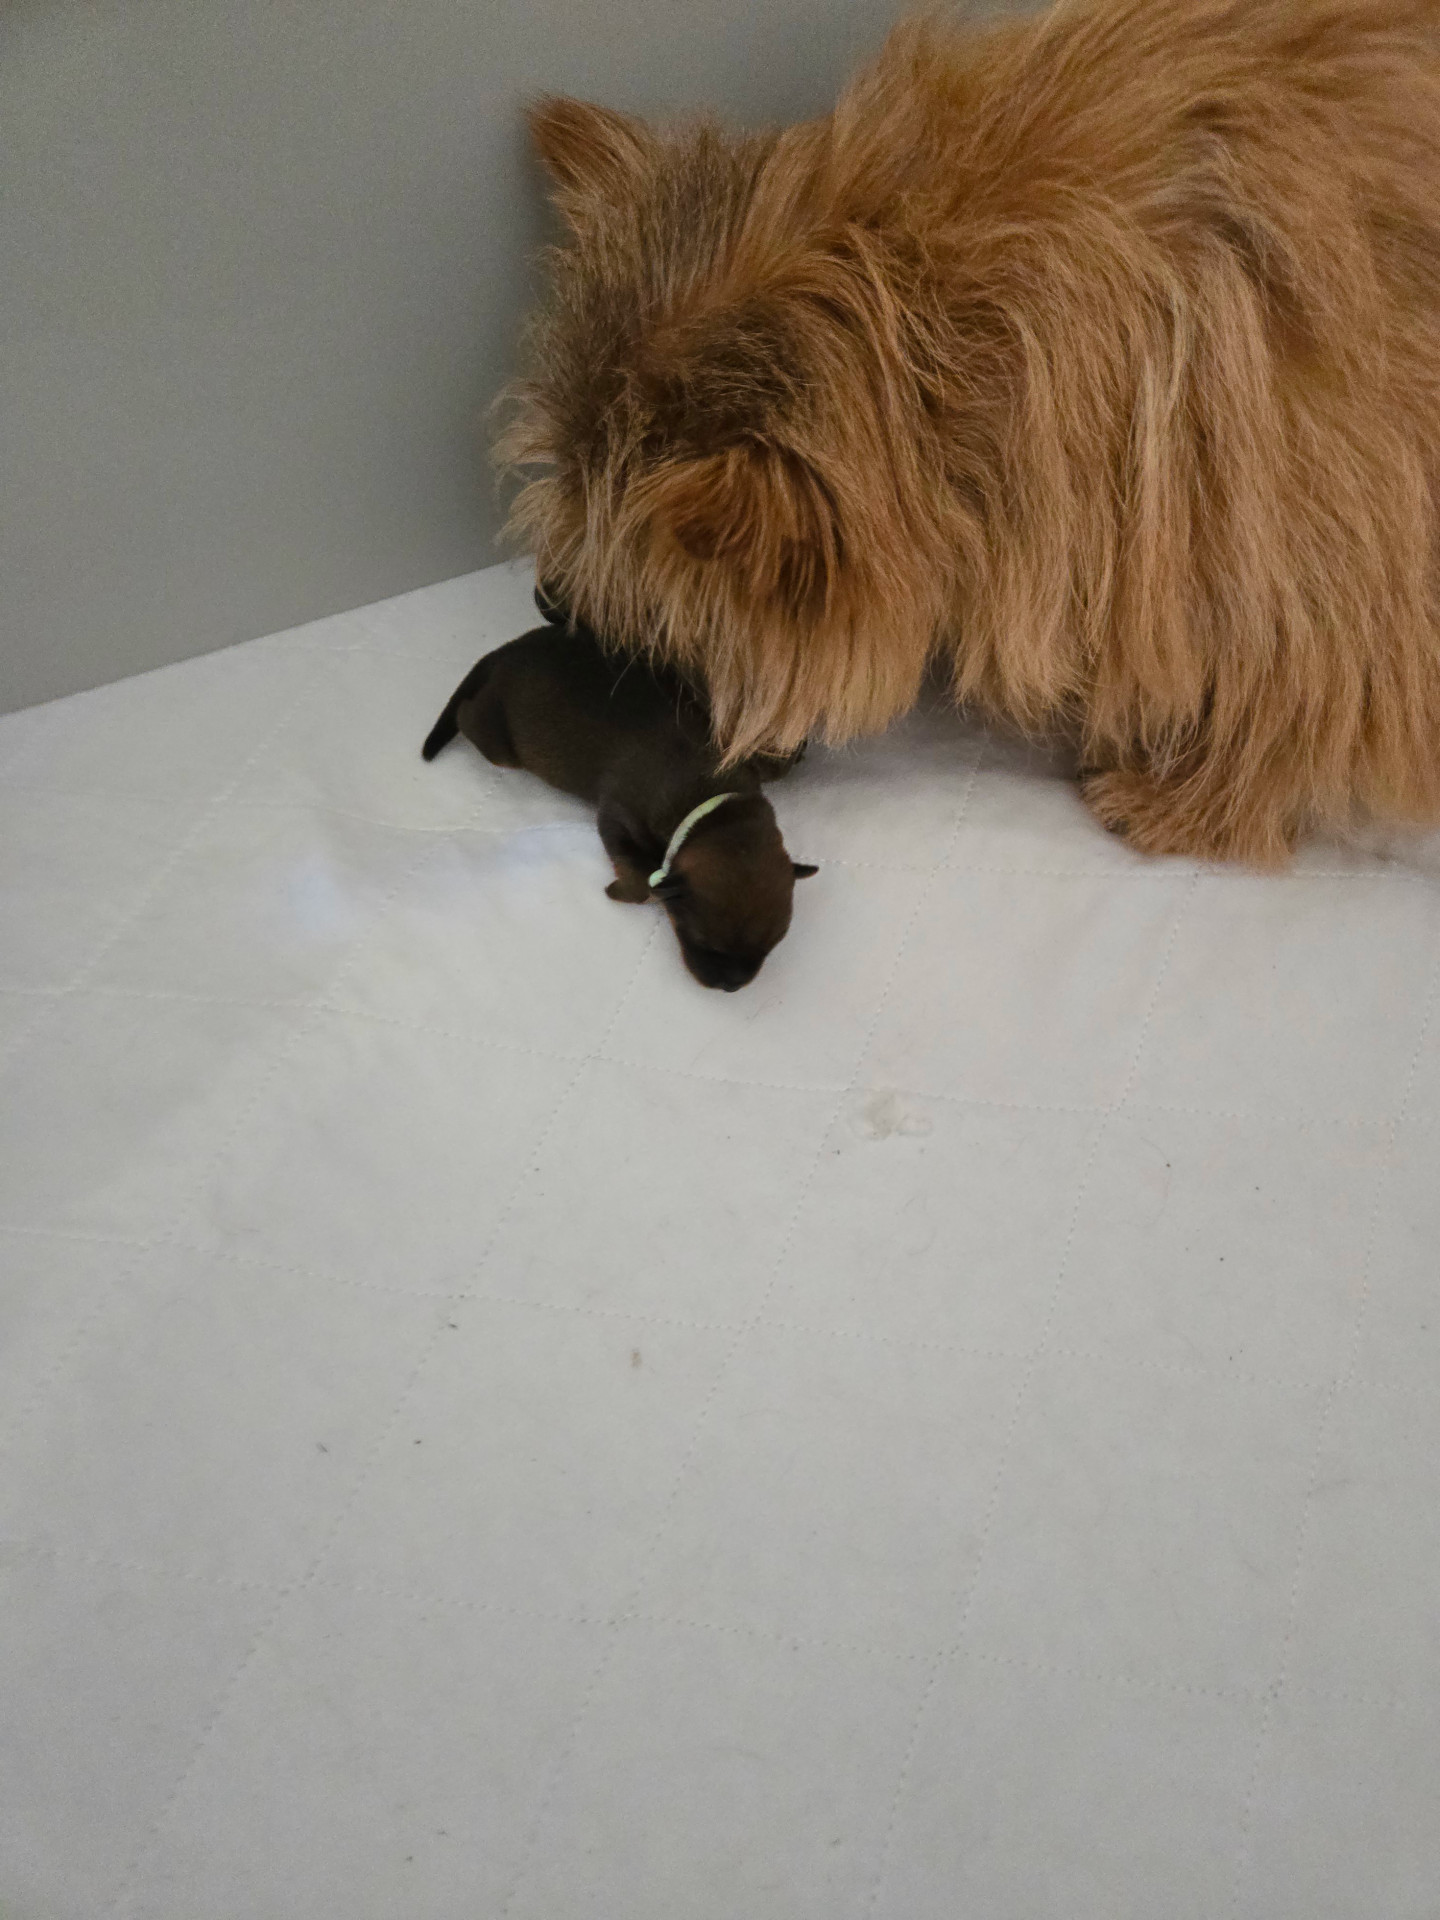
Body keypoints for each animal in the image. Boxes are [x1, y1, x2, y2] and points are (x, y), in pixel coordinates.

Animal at [422, 591, 816, 989]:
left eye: (774, 944)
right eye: (703, 941)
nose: (731, 985)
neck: (711, 803)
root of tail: (504, 651)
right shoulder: (618, 817)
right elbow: (640, 879)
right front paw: (625, 891)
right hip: (498, 743)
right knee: (466, 716)